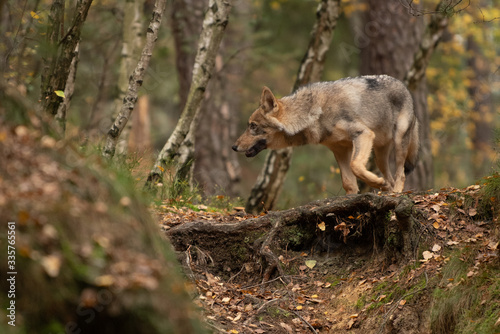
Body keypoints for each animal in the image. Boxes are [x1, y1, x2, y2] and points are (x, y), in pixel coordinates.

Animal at [232, 73, 420, 193]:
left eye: (253, 126)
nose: (233, 147)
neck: (314, 113)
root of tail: (405, 88)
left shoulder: (363, 134)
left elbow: (356, 165)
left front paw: (376, 182)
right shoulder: (339, 149)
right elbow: (348, 183)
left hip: (398, 143)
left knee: (401, 175)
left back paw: (394, 193)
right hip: (379, 155)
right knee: (391, 177)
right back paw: (387, 189)